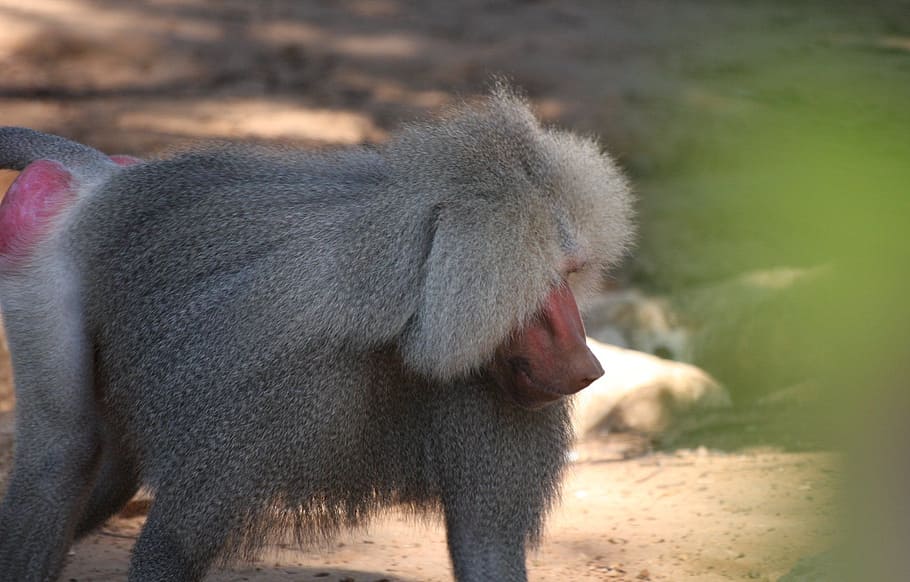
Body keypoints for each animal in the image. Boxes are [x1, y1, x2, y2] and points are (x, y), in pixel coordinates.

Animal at [0, 89, 634, 582]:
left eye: (572, 274)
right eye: (551, 280)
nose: (588, 367)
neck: (408, 315)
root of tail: (107, 181)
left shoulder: (491, 385)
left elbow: (488, 544)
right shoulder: (262, 383)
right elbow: (171, 546)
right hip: (39, 253)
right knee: (65, 451)